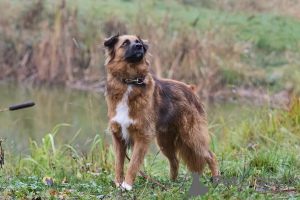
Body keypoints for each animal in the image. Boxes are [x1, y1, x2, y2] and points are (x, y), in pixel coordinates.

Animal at [104, 33, 219, 190]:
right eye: (125, 43)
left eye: (138, 42)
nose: (139, 47)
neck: (130, 81)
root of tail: (190, 89)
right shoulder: (118, 135)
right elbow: (118, 164)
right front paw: (118, 183)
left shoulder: (143, 136)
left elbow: (133, 164)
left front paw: (127, 186)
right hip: (165, 141)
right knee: (175, 161)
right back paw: (170, 184)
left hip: (192, 135)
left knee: (211, 156)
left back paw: (217, 181)